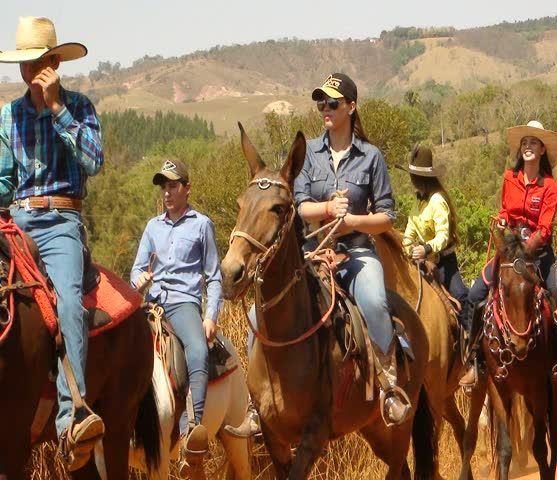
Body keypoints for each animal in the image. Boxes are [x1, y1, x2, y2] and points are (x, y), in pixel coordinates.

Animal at [219, 125, 432, 478]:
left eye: (278, 208)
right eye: (239, 204)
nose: (230, 272)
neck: (285, 349)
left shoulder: (313, 437)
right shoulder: (274, 438)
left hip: (401, 424)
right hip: (372, 426)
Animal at [458, 230, 552, 480]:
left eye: (532, 288)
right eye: (505, 289)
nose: (519, 344)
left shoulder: (538, 388)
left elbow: (540, 446)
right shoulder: (498, 388)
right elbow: (504, 447)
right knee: (471, 437)